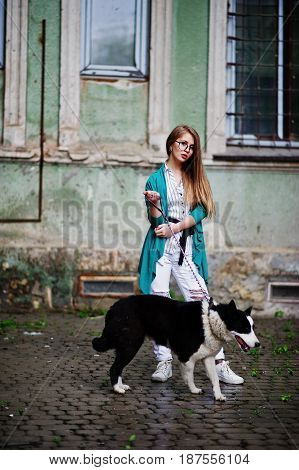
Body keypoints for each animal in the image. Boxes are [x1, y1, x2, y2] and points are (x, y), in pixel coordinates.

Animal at [92, 294, 262, 400]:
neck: (211, 321)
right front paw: (193, 390)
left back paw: (121, 385)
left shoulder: (208, 358)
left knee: (119, 367)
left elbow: (215, 379)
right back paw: (117, 389)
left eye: (253, 328)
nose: (258, 344)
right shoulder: (187, 357)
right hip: (131, 345)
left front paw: (218, 396)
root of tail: (113, 307)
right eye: (245, 328)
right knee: (115, 368)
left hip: (127, 346)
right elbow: (190, 376)